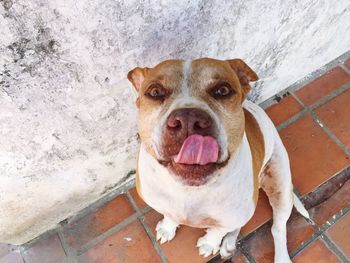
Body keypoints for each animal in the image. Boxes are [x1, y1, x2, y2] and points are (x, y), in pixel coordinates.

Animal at [127, 58, 308, 262]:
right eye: (155, 92)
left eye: (222, 90)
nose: (188, 119)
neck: (188, 192)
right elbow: (170, 215)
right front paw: (168, 228)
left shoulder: (228, 218)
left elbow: (217, 231)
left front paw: (209, 243)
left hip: (280, 187)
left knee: (277, 228)